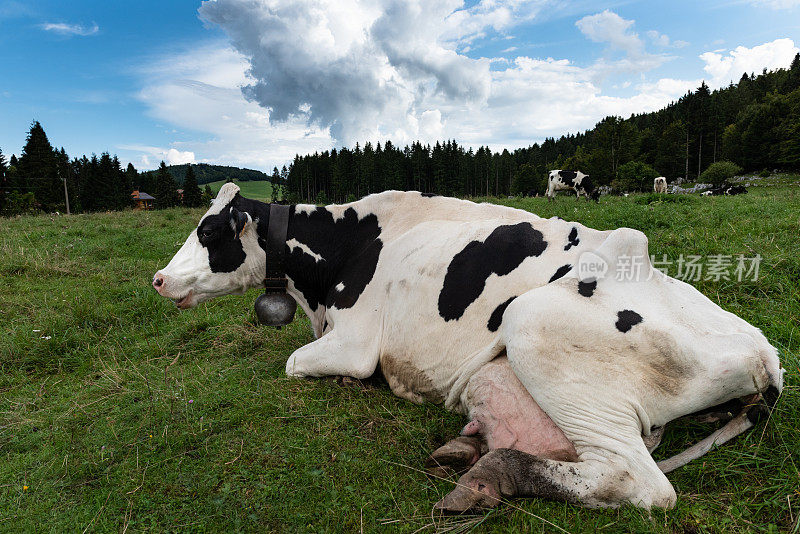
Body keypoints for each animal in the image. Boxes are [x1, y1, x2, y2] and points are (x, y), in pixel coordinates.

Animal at [153, 185, 780, 516]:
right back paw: (468, 449)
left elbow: (293, 364)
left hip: (534, 328)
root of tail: (762, 352)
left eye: (209, 232)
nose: (158, 279)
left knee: (637, 481)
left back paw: (492, 474)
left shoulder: (354, 343)